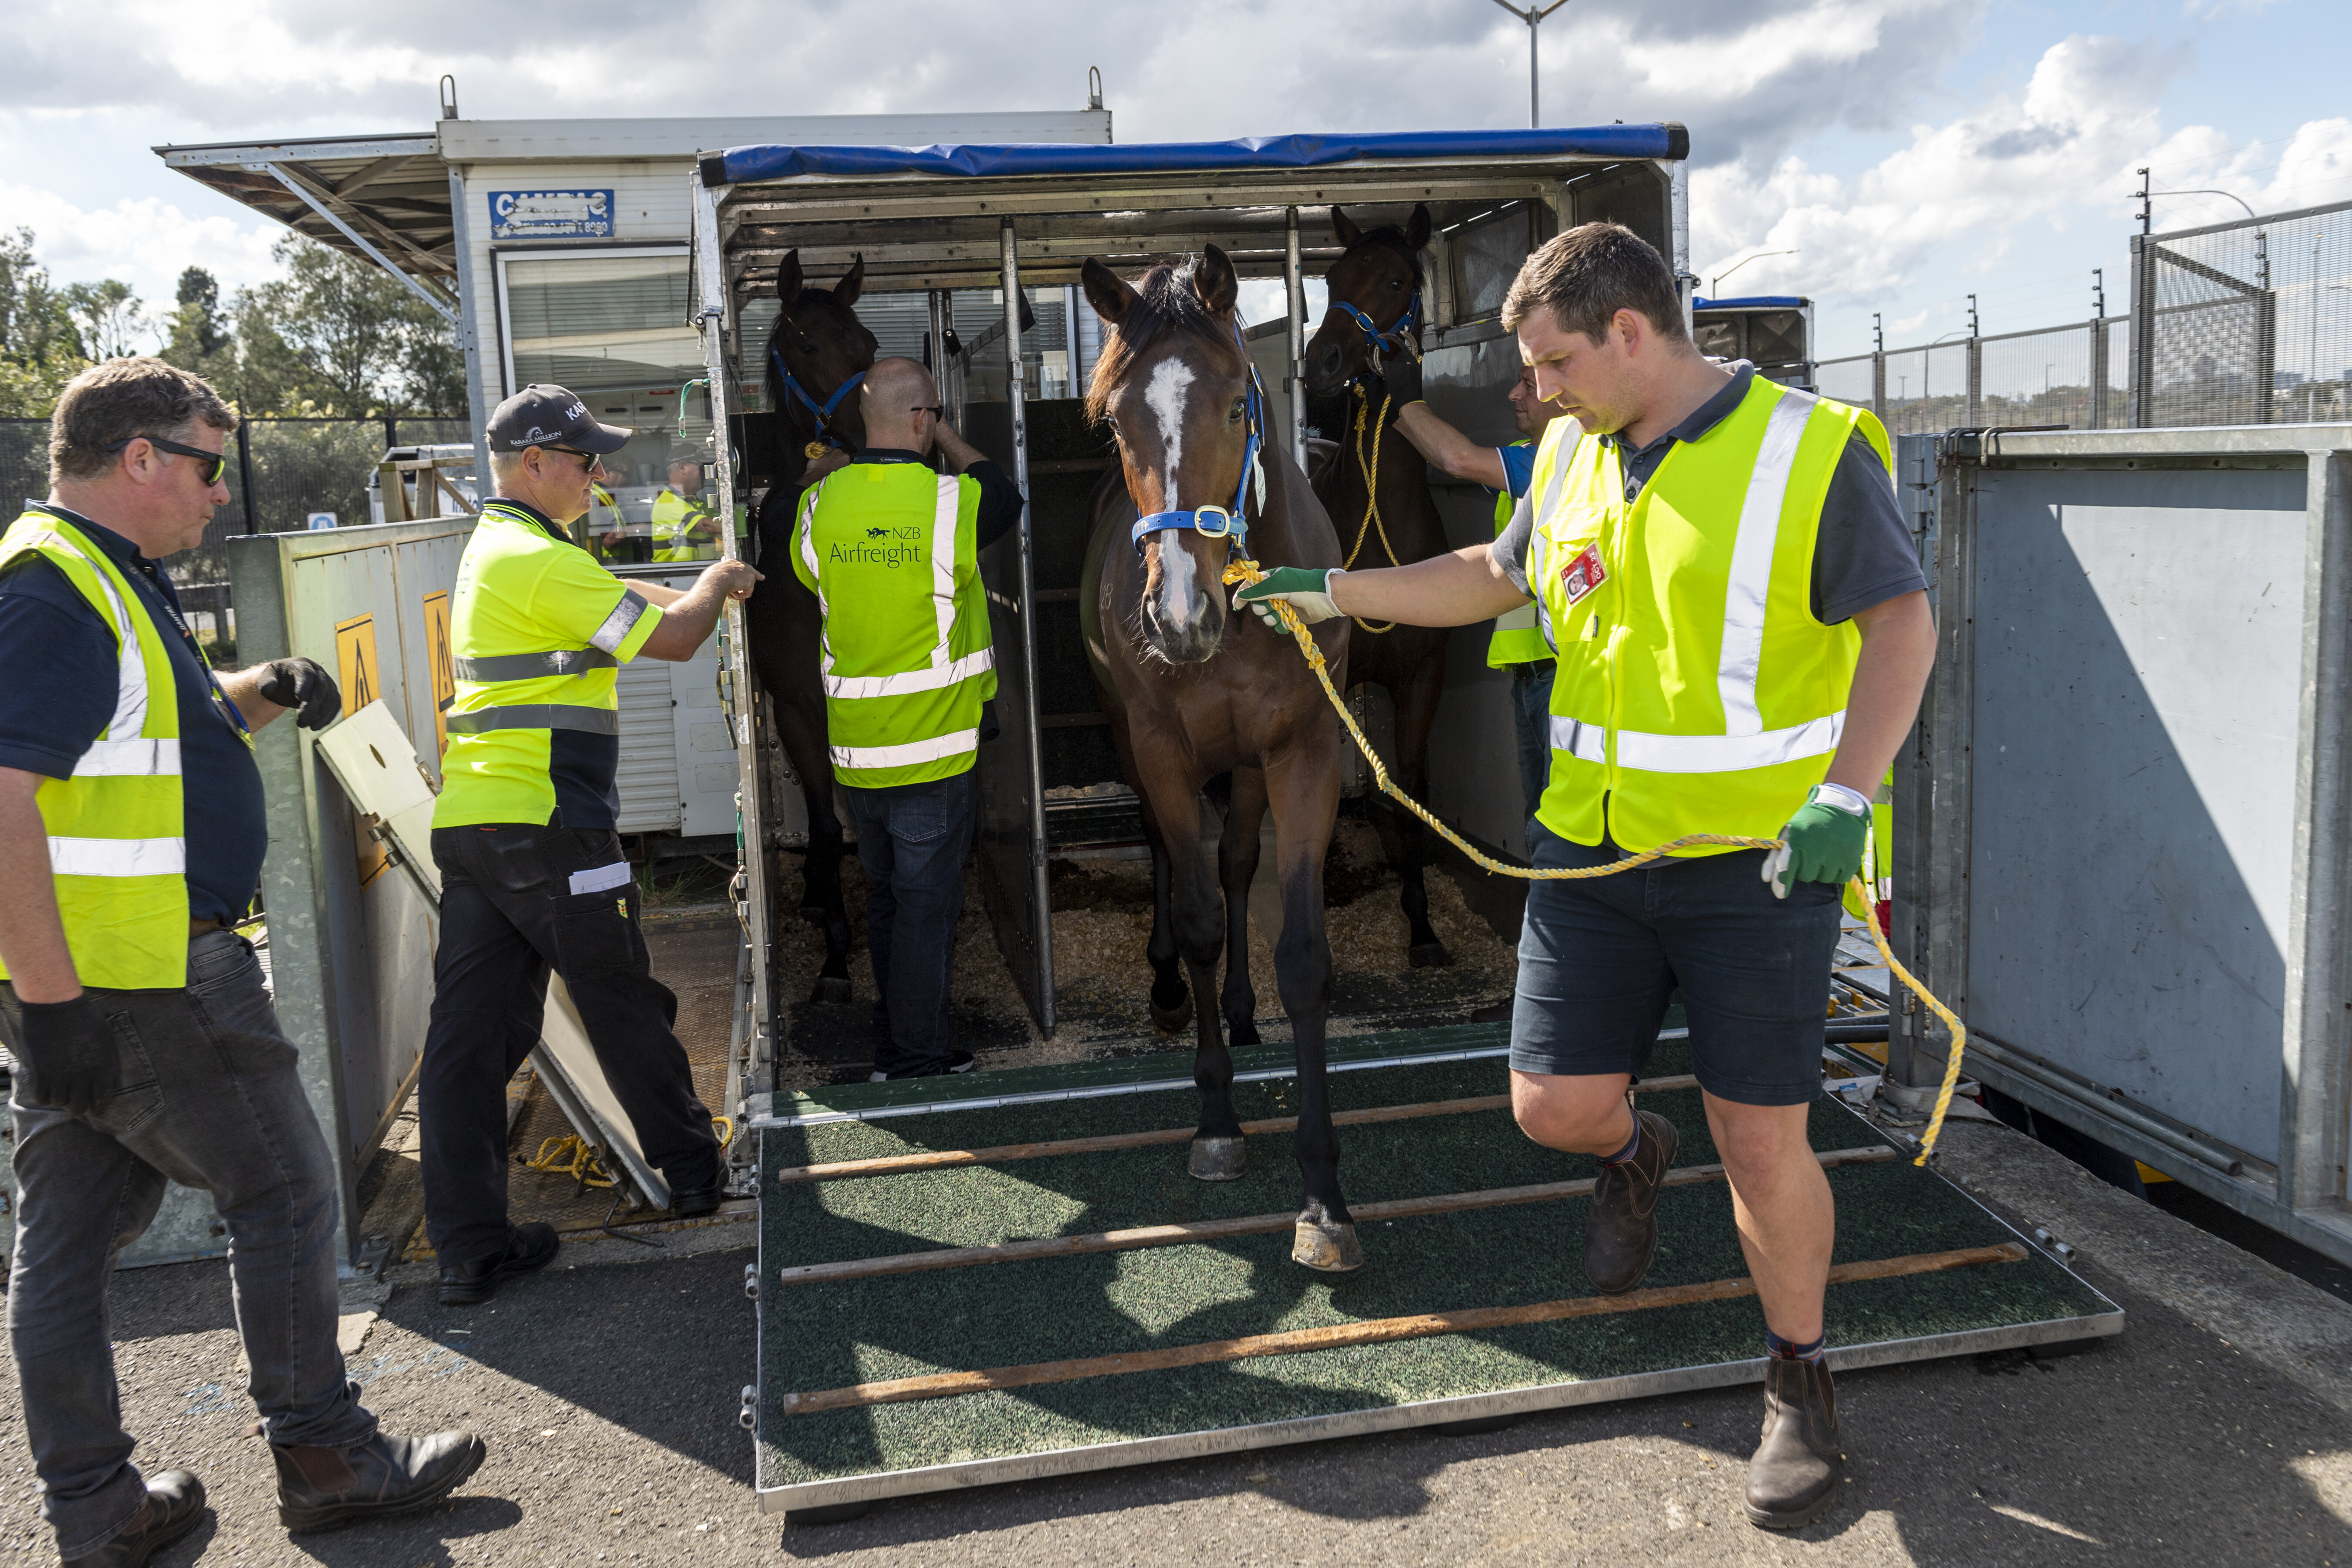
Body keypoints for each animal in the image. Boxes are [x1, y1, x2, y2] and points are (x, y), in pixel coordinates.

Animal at [1077, 248, 1373, 1279]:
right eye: (1114, 419)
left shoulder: (1302, 750)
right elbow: (1204, 916)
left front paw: (1325, 1200)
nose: (1178, 614)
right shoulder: (1161, 750)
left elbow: (1299, 951)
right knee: (1176, 865)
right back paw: (1173, 988)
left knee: (1238, 860)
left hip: (1245, 766)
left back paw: (1240, 1011)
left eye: (1240, 407)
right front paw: (1216, 1122)